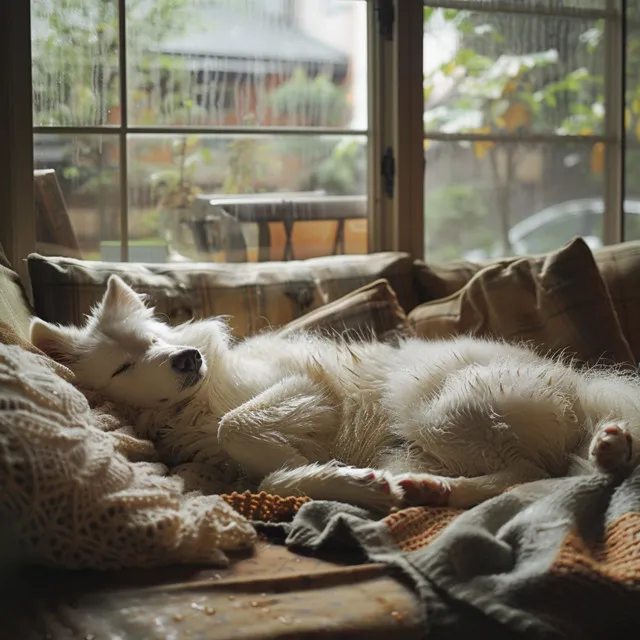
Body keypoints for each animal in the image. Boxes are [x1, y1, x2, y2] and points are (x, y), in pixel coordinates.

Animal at [31, 274, 640, 510]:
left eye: (156, 338)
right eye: (124, 365)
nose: (188, 359)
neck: (194, 403)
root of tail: (580, 387)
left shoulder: (303, 386)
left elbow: (239, 427)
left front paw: (327, 473)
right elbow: (267, 476)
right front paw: (341, 481)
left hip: (436, 405)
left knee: (533, 474)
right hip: (422, 434)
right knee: (533, 476)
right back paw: (428, 489)